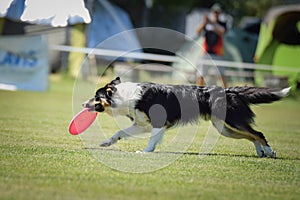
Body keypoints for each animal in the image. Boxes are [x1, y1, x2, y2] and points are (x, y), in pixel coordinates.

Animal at [82, 77, 290, 158]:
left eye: (96, 97)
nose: (83, 104)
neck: (124, 96)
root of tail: (229, 90)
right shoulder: (142, 124)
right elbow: (120, 132)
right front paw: (106, 143)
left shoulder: (158, 123)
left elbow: (152, 140)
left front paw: (146, 152)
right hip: (224, 128)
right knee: (252, 135)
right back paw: (261, 152)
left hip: (232, 122)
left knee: (258, 133)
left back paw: (270, 152)